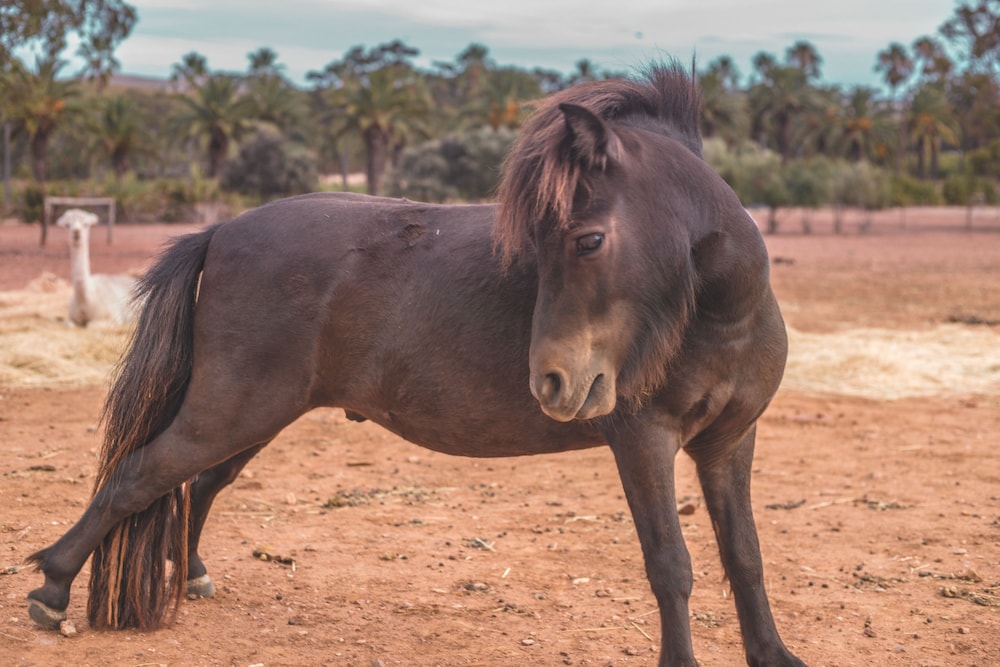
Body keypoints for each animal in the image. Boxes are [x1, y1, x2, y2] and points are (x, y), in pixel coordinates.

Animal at [25, 64, 804, 667]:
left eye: (586, 240)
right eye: (548, 243)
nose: (551, 382)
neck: (721, 316)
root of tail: (221, 230)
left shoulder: (729, 443)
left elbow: (745, 555)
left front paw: (774, 654)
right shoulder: (644, 441)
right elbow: (671, 564)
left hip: (254, 415)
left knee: (196, 483)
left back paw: (189, 576)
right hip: (230, 409)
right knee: (140, 476)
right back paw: (52, 589)